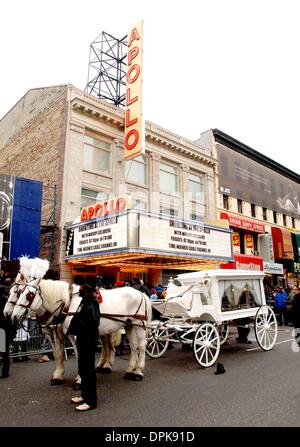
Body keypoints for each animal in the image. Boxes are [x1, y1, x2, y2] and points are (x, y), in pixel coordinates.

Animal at [9, 280, 152, 382]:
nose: (13, 317)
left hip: (139, 325)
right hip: (129, 325)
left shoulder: (77, 334)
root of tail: (141, 294)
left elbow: (79, 354)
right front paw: (58, 375)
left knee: (141, 346)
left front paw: (80, 379)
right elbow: (58, 353)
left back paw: (138, 372)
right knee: (132, 346)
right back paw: (129, 370)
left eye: (29, 295)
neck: (68, 305)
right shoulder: (58, 332)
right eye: (19, 293)